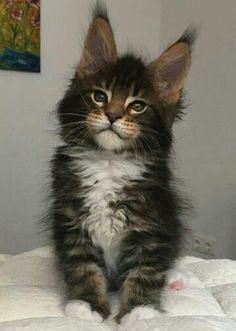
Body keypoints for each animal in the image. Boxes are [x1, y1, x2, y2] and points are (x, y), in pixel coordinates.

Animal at [49, 2, 195, 324]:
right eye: (99, 96)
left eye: (137, 106)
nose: (113, 115)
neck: (109, 162)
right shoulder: (72, 222)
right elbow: (82, 267)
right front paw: (87, 305)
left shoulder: (153, 226)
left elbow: (146, 270)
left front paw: (140, 311)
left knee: (171, 257)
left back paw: (177, 277)